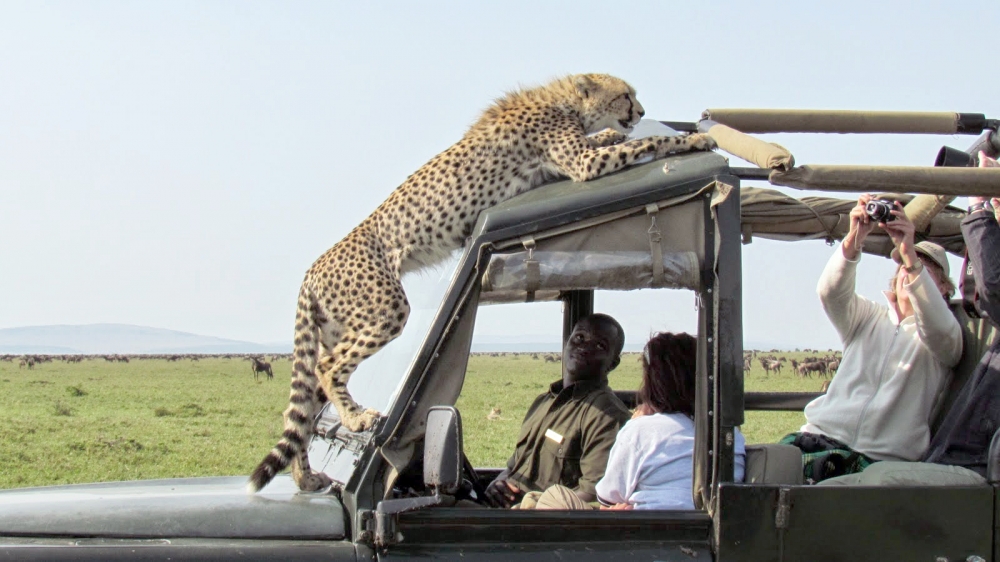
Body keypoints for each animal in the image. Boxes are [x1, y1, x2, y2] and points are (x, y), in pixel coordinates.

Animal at [252, 73, 720, 490]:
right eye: (625, 94)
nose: (639, 111)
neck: (565, 101)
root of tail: (312, 269)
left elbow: (616, 141)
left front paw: (623, 134)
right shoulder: (583, 163)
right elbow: (644, 144)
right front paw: (691, 142)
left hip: (338, 328)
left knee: (305, 403)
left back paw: (307, 477)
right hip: (385, 310)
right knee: (328, 370)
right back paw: (355, 419)